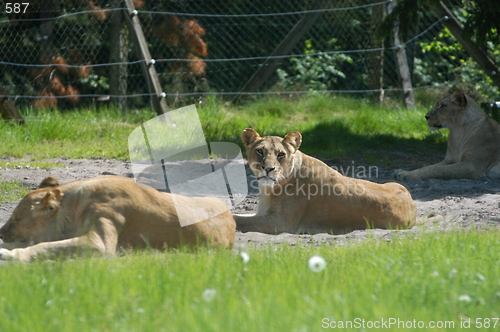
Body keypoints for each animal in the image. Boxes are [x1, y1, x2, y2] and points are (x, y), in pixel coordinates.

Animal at [234, 127, 418, 233]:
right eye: (260, 151)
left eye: (280, 154)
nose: (268, 169)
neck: (268, 189)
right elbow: (238, 215)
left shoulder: (280, 223)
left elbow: (239, 220)